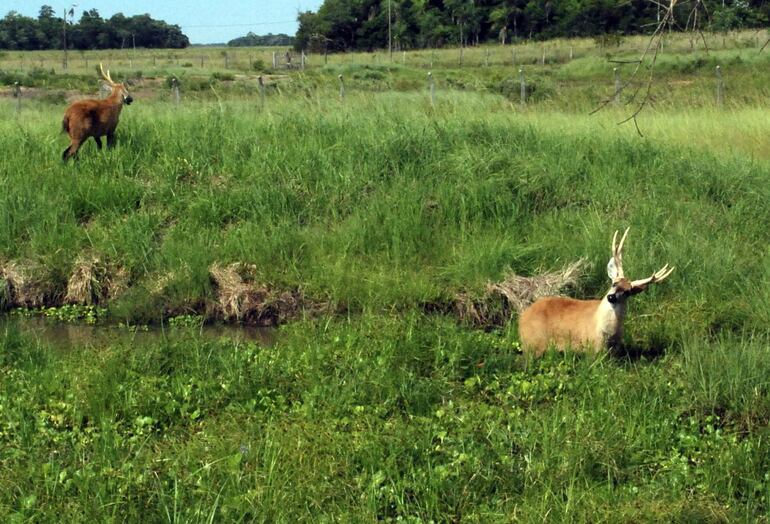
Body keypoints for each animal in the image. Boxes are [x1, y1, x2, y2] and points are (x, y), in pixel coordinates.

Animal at [518, 228, 674, 355]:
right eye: (613, 283)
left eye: (628, 291)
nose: (611, 297)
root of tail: (522, 318)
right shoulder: (592, 348)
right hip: (534, 343)